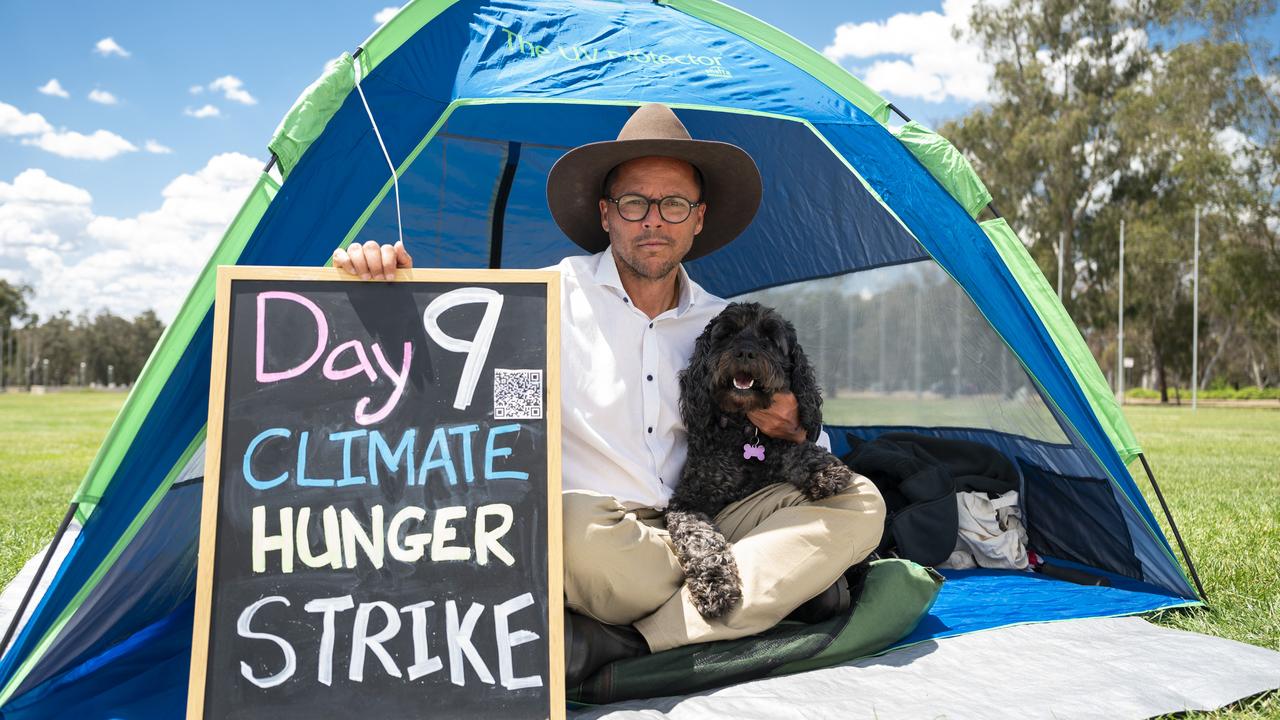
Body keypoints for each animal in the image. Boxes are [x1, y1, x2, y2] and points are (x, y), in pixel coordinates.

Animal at [665, 301, 855, 617]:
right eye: (727, 334)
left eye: (769, 338)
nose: (744, 352)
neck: (744, 429)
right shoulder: (687, 500)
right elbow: (700, 538)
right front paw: (715, 584)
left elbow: (795, 448)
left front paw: (824, 469)